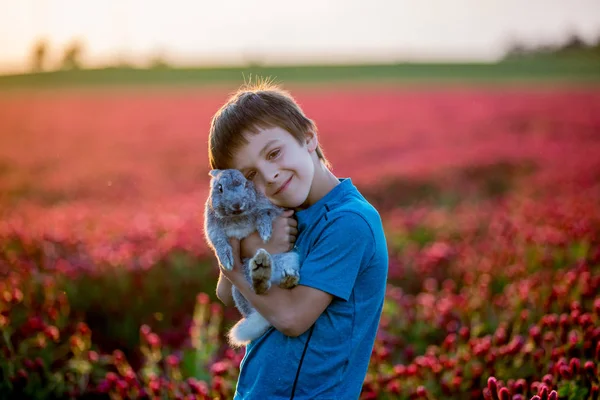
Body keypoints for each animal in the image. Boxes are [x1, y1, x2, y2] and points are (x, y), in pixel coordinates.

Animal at [205, 169, 300, 346]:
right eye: (220, 188)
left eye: (245, 184)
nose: (236, 204)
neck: (237, 216)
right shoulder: (213, 228)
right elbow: (219, 241)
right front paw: (227, 260)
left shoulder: (271, 209)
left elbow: (265, 213)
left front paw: (265, 232)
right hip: (239, 290)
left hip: (289, 259)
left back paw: (285, 278)